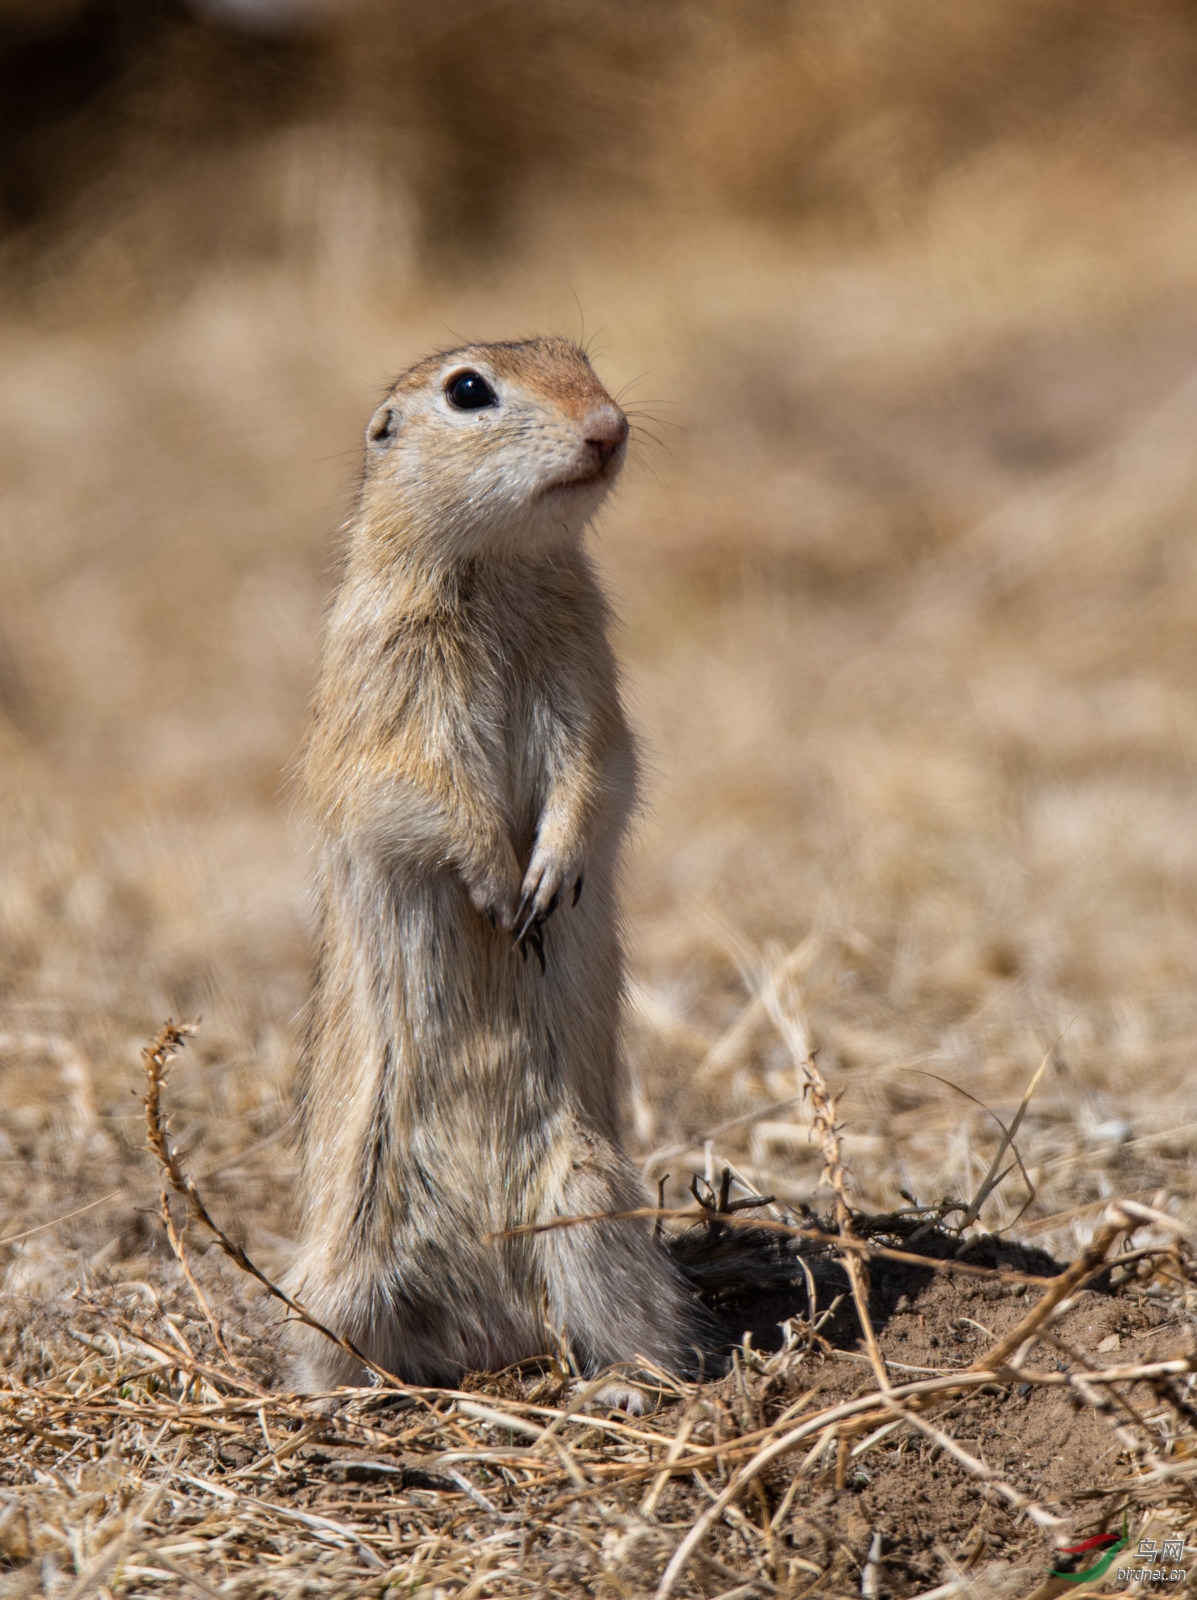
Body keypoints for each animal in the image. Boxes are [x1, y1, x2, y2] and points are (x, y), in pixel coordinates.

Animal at [289, 340, 697, 1401]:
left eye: (582, 358)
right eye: (467, 389)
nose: (609, 427)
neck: (500, 570)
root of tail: (487, 1337)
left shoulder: (585, 680)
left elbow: (597, 773)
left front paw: (548, 880)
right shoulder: (390, 687)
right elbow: (419, 793)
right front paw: (496, 884)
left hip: (591, 1207)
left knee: (622, 1324)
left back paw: (622, 1382)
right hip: (341, 1263)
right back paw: (340, 1401)